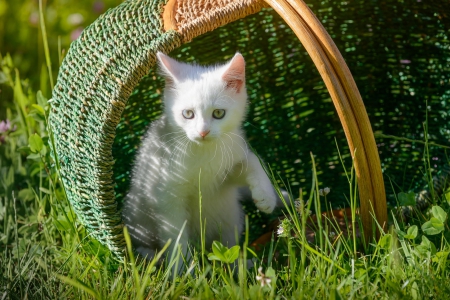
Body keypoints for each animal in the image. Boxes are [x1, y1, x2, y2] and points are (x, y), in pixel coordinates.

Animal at [123, 52, 278, 262]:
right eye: (188, 114)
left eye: (218, 113)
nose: (203, 132)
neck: (203, 153)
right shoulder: (167, 196)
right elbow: (175, 235)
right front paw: (181, 267)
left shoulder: (227, 168)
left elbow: (251, 161)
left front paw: (266, 196)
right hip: (138, 215)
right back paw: (148, 254)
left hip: (229, 217)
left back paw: (241, 263)